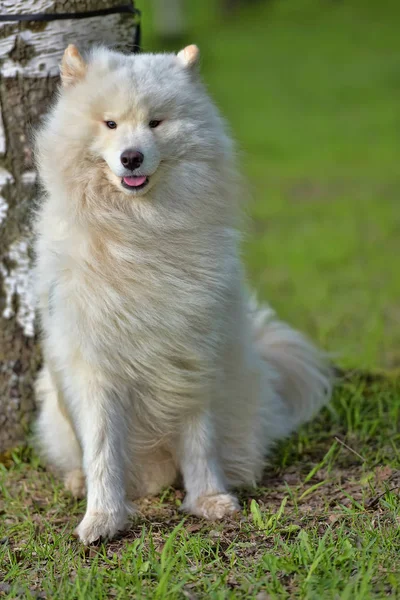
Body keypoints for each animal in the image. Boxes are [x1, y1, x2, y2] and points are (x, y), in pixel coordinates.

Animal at [33, 45, 332, 544]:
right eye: (109, 124)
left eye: (156, 122)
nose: (131, 158)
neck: (140, 233)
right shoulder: (95, 368)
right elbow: (101, 450)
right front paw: (102, 518)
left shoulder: (191, 357)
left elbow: (199, 441)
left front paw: (210, 499)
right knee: (75, 453)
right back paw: (76, 481)